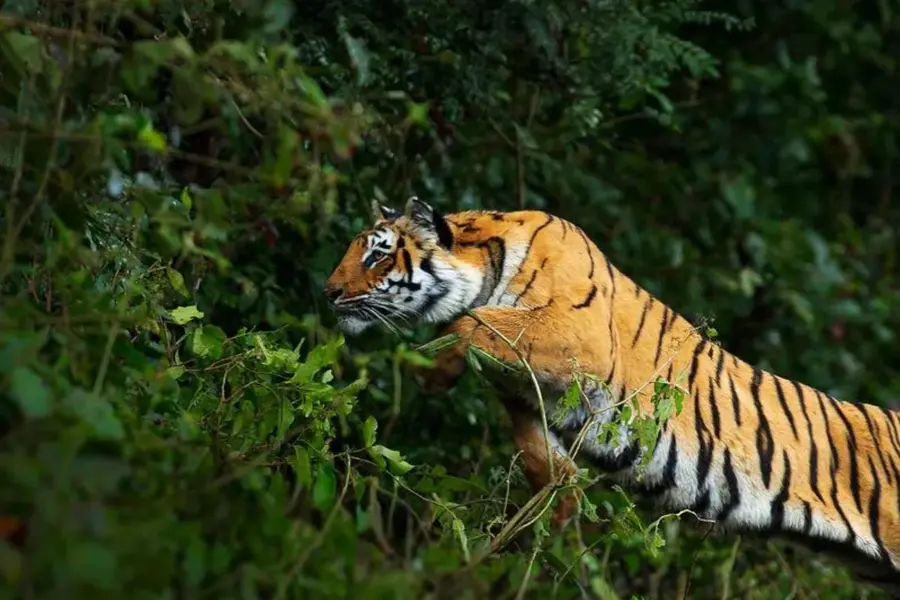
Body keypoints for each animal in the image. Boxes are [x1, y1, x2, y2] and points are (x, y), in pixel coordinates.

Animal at [323, 196, 900, 596]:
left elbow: (475, 321)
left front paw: (429, 369)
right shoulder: (525, 393)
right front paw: (555, 515)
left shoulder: (575, 338)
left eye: (376, 256)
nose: (327, 292)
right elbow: (539, 456)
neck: (486, 270)